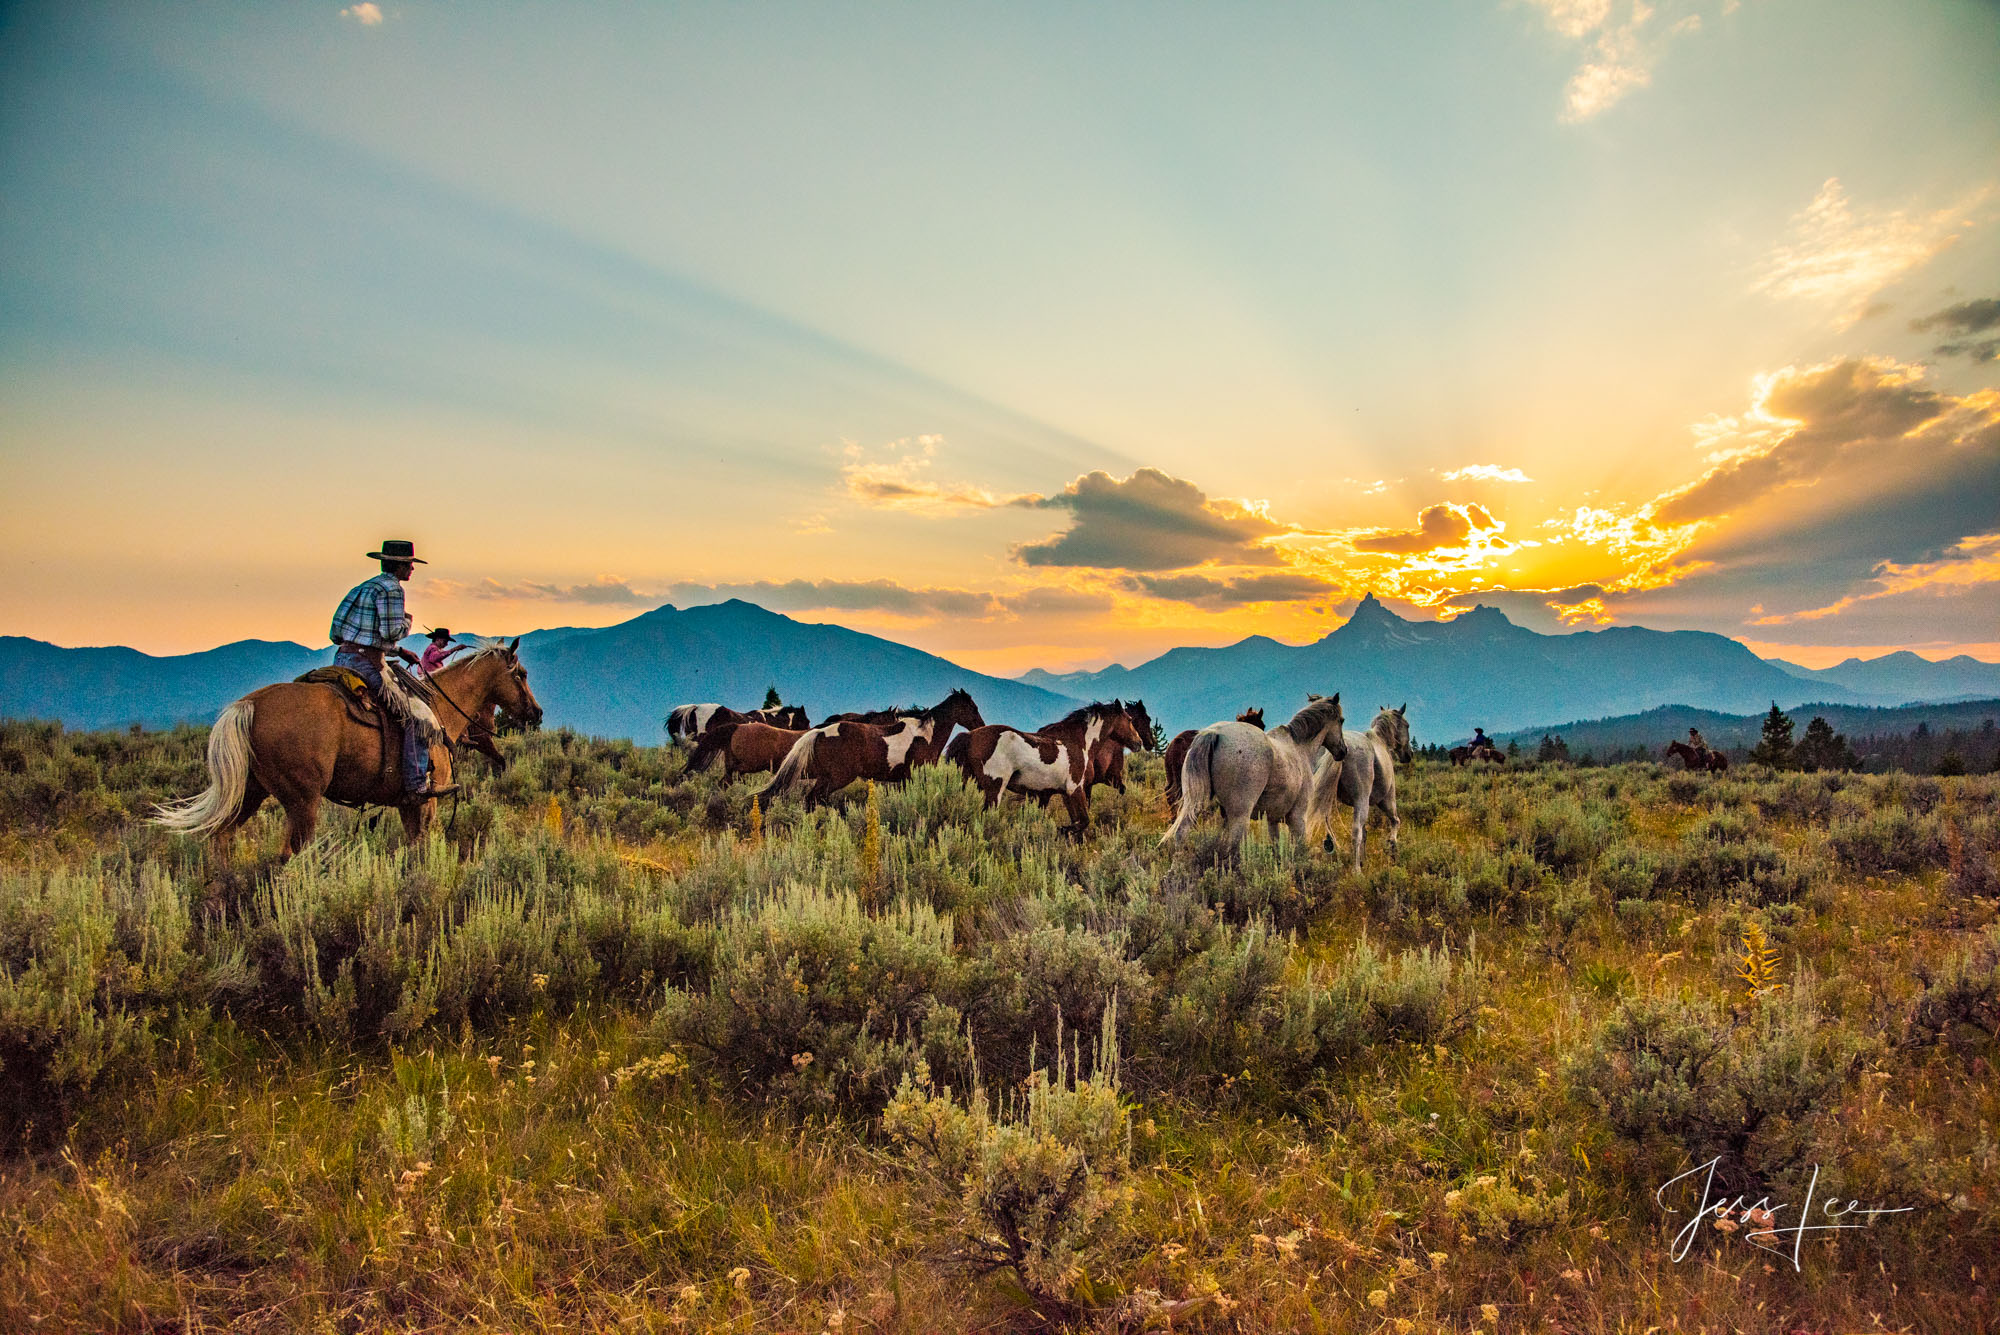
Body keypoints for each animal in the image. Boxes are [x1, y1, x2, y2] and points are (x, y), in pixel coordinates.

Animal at [155, 639, 544, 859]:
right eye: (521, 674)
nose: (537, 713)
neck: (439, 709)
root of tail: (249, 704)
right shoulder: (425, 801)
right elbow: (421, 849)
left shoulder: (406, 804)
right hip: (302, 801)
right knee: (292, 854)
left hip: (251, 792)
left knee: (222, 837)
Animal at [756, 695, 984, 807]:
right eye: (972, 707)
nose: (981, 725)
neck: (925, 734)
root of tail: (820, 731)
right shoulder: (914, 776)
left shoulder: (903, 780)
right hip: (838, 778)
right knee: (813, 799)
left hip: (824, 776)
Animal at [948, 703, 1152, 827]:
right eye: (1130, 720)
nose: (1140, 743)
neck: (1079, 741)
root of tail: (970, 735)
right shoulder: (1075, 789)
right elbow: (1083, 822)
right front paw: (1062, 830)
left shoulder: (1063, 794)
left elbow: (1078, 823)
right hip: (994, 788)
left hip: (970, 782)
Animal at [1160, 687, 1344, 855]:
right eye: (1341, 720)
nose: (1343, 750)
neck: (1299, 747)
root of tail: (1213, 733)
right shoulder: (1297, 818)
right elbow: (1299, 851)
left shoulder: (1272, 819)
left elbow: (1277, 848)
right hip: (1239, 816)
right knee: (1232, 848)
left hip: (1194, 804)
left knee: (1181, 832)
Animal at [1304, 703, 1416, 871]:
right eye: (1407, 725)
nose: (1409, 755)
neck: (1380, 740)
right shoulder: (1386, 800)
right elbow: (1395, 821)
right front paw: (1392, 847)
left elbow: (1365, 833)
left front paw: (1365, 859)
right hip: (1363, 800)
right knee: (1356, 832)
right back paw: (1356, 870)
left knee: (1327, 822)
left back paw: (1332, 846)